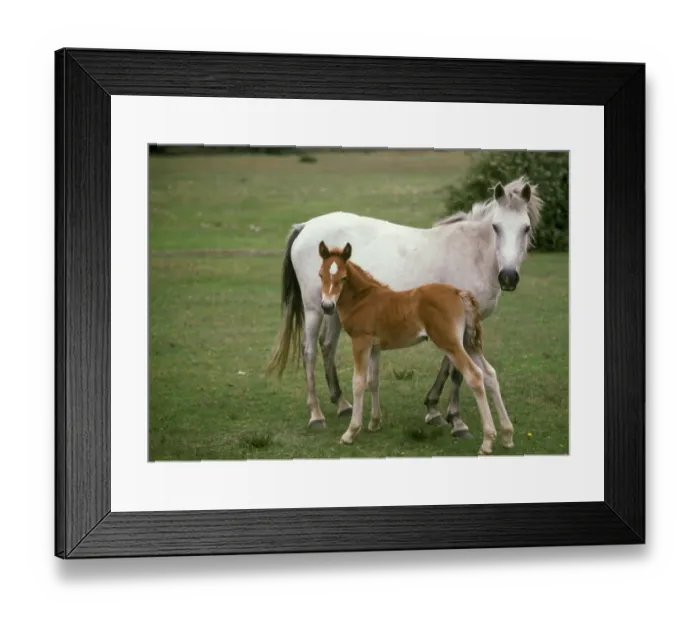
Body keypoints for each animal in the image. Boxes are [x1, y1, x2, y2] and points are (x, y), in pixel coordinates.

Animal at [315, 240, 513, 455]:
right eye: (320, 275)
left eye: (343, 277)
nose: (327, 306)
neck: (363, 299)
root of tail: (458, 292)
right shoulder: (375, 347)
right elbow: (373, 381)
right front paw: (375, 423)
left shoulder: (361, 341)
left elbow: (358, 383)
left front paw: (351, 432)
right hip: (469, 343)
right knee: (490, 374)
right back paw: (507, 435)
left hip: (450, 343)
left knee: (475, 375)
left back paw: (487, 441)